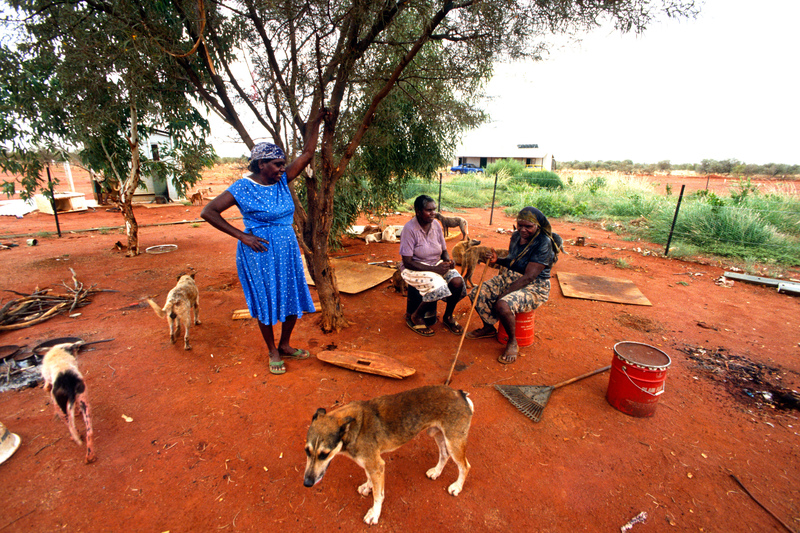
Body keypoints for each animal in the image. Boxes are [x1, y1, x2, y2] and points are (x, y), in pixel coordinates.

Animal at [304, 384, 472, 524]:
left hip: (454, 443)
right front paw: (368, 486)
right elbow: (369, 478)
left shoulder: (376, 465)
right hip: (438, 435)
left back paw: (457, 487)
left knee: (465, 466)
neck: (352, 427)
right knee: (444, 455)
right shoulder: (371, 463)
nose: (307, 483)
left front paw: (374, 514)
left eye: (324, 454)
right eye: (307, 451)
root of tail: (460, 393)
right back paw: (436, 472)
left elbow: (378, 495)